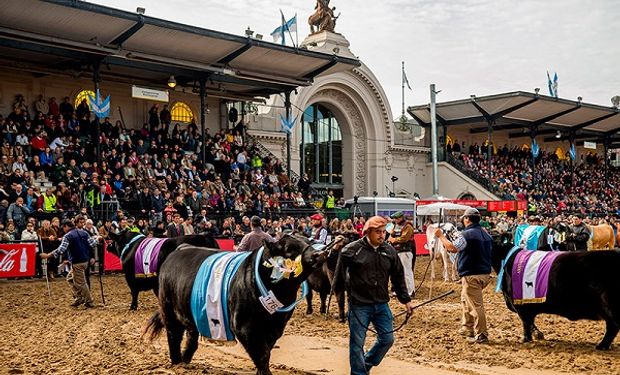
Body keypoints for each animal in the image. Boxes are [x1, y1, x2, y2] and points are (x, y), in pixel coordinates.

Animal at [143, 236, 344, 374]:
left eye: (306, 241)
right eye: (289, 248)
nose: (318, 254)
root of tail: (181, 248)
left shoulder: (275, 327)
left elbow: (266, 351)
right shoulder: (244, 327)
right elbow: (261, 354)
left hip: (191, 313)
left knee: (191, 337)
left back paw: (185, 360)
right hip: (168, 310)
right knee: (173, 335)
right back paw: (177, 363)